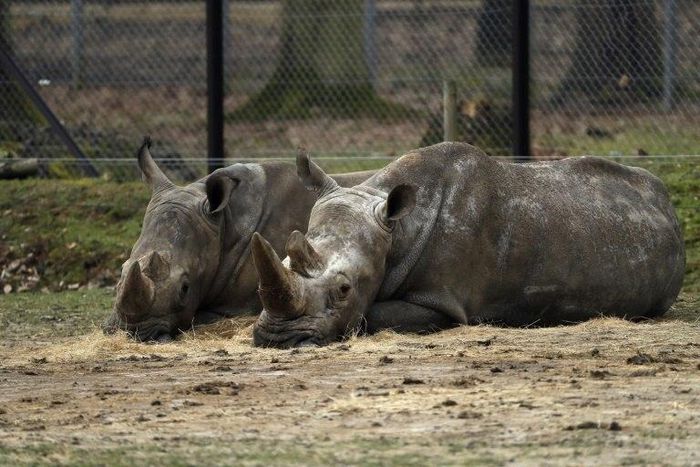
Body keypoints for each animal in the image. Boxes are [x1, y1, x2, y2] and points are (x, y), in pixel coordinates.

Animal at [251, 142, 685, 348]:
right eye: (284, 261)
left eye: (344, 289)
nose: (276, 340)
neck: (394, 229)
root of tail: (667, 203)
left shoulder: (442, 300)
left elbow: (370, 315)